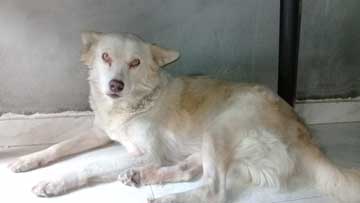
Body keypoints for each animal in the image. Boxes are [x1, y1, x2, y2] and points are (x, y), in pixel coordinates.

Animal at [7, 32, 360, 202]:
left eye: (135, 62)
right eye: (105, 57)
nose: (115, 85)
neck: (137, 101)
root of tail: (301, 128)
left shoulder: (147, 152)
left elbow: (89, 166)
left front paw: (53, 183)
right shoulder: (101, 133)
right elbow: (59, 147)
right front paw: (27, 161)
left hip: (220, 128)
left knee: (213, 190)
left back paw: (165, 199)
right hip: (208, 142)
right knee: (191, 171)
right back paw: (141, 178)